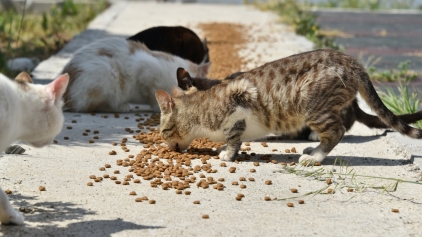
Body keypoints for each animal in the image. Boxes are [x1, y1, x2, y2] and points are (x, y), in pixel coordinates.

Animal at [62, 37, 211, 113]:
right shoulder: (145, 70)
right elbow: (153, 95)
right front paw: (161, 108)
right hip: (106, 75)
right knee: (90, 106)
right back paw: (120, 107)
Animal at [157, 49, 422, 164]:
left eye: (162, 131)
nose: (167, 146)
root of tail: (353, 63)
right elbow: (236, 138)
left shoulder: (238, 101)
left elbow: (233, 138)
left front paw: (227, 154)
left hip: (311, 104)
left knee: (337, 131)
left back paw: (315, 157)